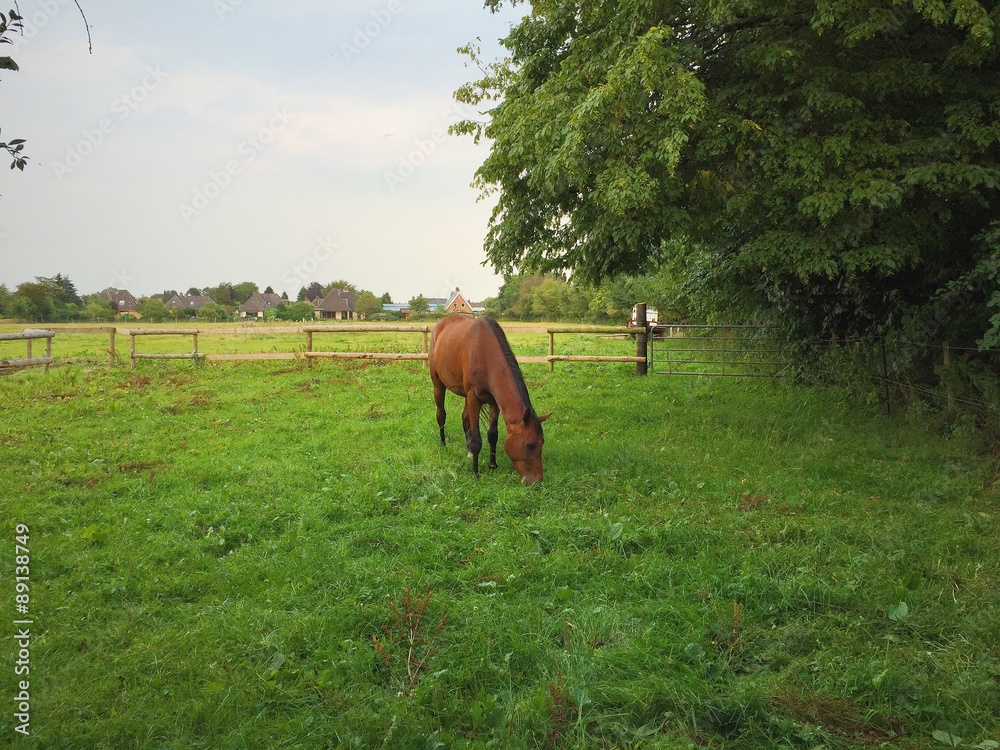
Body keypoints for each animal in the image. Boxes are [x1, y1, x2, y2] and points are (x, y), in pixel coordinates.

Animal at [429, 315, 549, 484]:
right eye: (530, 445)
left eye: (542, 443)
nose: (537, 481)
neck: (485, 353)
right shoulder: (473, 397)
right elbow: (477, 439)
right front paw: (475, 472)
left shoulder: (494, 401)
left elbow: (493, 434)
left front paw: (492, 465)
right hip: (438, 384)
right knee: (441, 415)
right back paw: (444, 444)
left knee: (465, 418)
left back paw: (468, 452)